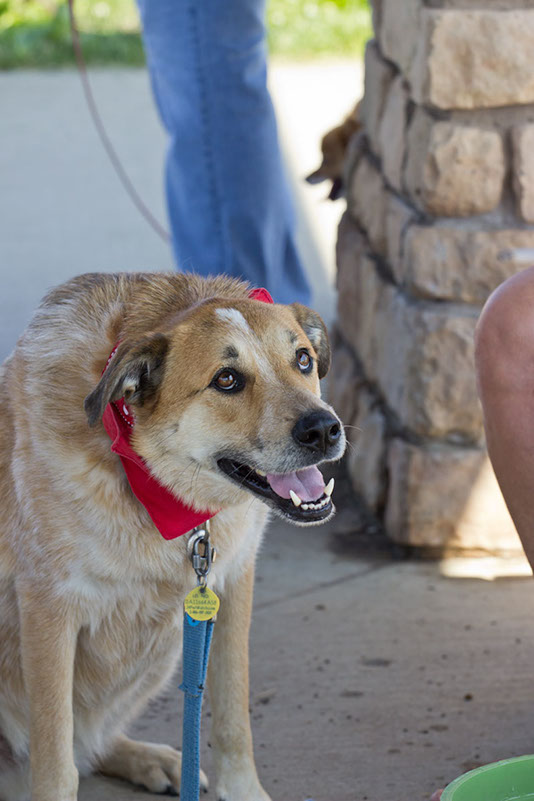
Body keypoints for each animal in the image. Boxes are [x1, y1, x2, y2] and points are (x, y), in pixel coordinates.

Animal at [0, 274, 348, 800]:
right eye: (226, 380)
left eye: (303, 359)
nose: (325, 428)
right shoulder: (48, 608)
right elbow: (55, 760)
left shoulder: (232, 584)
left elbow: (232, 714)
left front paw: (242, 790)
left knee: (92, 741)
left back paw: (152, 759)